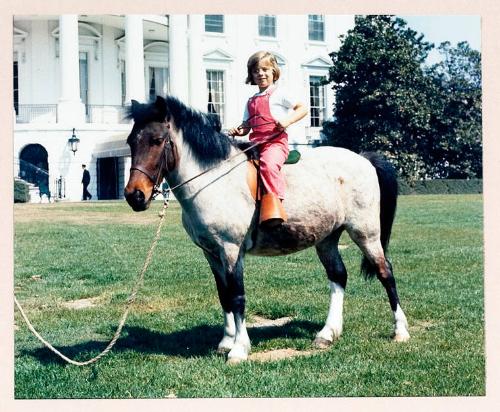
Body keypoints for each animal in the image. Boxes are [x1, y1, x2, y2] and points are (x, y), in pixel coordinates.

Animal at [123, 96, 408, 364]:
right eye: (130, 142)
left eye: (157, 140)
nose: (134, 196)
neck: (214, 180)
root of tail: (364, 159)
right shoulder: (211, 253)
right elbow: (223, 294)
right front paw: (226, 341)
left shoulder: (231, 250)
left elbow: (237, 296)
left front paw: (239, 349)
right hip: (327, 238)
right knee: (338, 276)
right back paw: (327, 334)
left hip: (365, 233)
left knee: (385, 273)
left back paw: (400, 330)